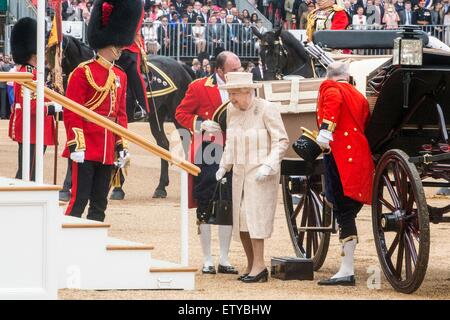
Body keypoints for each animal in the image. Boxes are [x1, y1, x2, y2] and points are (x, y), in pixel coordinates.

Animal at [53, 35, 193, 200]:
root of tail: (182, 66)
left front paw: (117, 187)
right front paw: (67, 188)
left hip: (176, 114)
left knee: (186, 141)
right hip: (156, 115)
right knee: (163, 144)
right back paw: (161, 188)